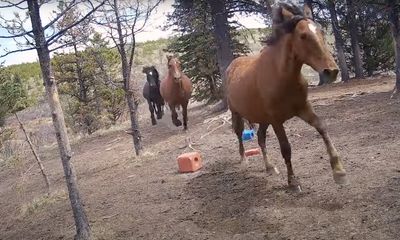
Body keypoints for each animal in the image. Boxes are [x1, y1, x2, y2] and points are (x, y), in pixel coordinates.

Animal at [227, 2, 348, 191]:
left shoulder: (303, 108)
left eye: (321, 32)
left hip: (263, 119)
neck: (282, 76)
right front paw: (293, 182)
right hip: (237, 113)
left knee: (261, 138)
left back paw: (270, 167)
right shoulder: (277, 120)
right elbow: (286, 148)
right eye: (303, 36)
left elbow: (322, 128)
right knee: (239, 134)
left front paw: (339, 172)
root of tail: (232, 66)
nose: (331, 71)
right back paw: (244, 160)